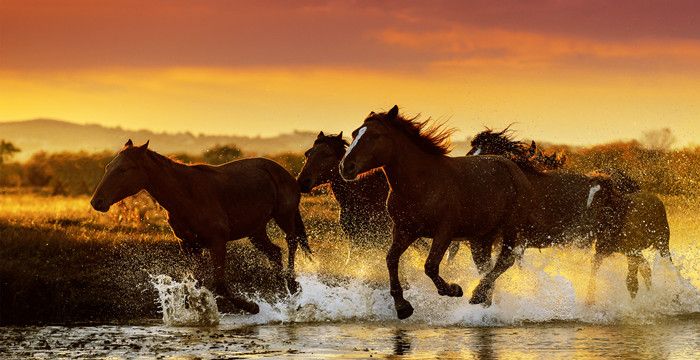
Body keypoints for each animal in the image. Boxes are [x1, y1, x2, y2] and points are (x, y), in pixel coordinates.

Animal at [91, 139, 310, 314]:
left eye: (123, 170)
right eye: (108, 167)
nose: (97, 202)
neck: (186, 195)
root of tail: (286, 173)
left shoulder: (217, 242)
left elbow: (219, 285)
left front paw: (252, 307)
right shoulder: (189, 245)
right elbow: (196, 284)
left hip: (284, 216)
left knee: (291, 242)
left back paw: (294, 286)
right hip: (255, 231)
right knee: (275, 252)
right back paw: (286, 294)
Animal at [340, 105, 536, 320]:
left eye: (375, 135)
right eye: (354, 133)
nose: (345, 167)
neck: (422, 184)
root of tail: (515, 170)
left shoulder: (444, 232)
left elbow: (430, 265)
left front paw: (453, 289)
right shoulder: (404, 230)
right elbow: (391, 259)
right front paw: (403, 307)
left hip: (511, 229)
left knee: (505, 261)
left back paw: (476, 295)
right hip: (481, 237)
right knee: (485, 267)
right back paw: (484, 302)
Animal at [464, 128, 672, 302]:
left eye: (485, 155)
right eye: (471, 152)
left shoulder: (515, 239)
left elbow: (499, 267)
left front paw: (479, 296)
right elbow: (488, 268)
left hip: (613, 242)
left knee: (636, 266)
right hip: (616, 244)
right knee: (641, 266)